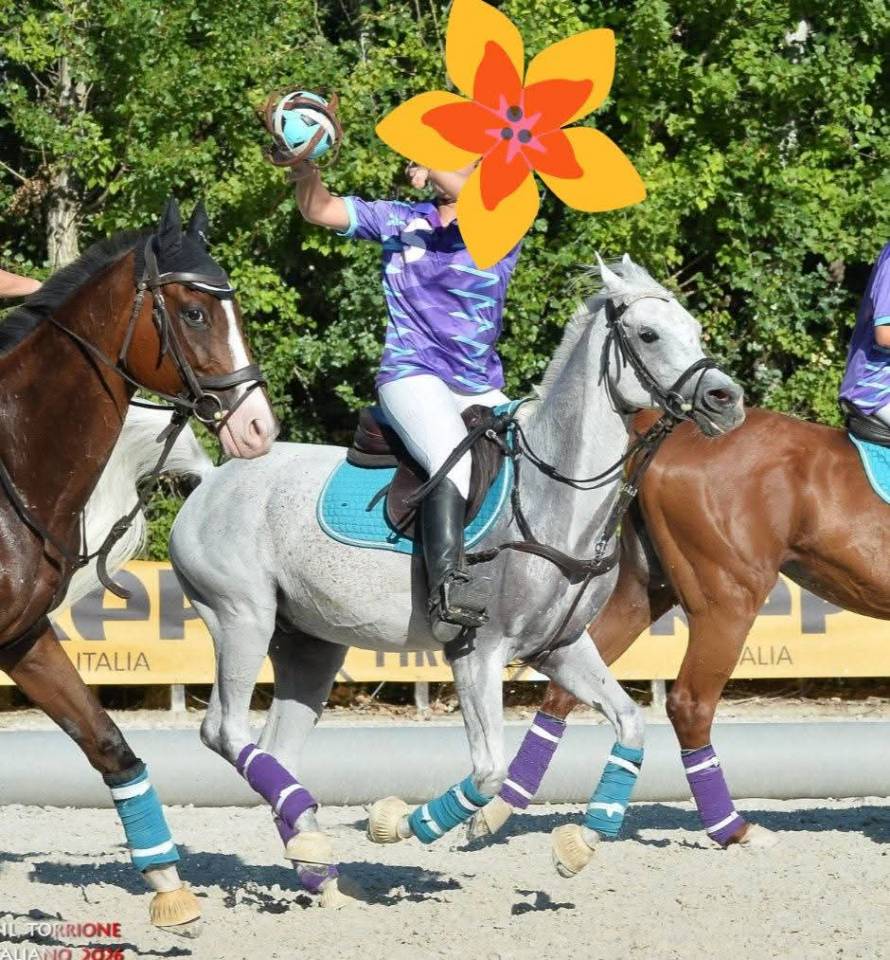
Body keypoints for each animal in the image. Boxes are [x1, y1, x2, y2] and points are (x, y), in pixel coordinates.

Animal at [168, 256, 745, 903]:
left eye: (694, 329)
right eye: (648, 335)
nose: (727, 399)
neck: (555, 496)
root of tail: (212, 478)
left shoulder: (560, 648)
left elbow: (630, 726)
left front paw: (581, 842)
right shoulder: (478, 652)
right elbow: (489, 770)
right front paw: (404, 823)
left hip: (310, 645)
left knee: (275, 749)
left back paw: (319, 869)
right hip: (242, 619)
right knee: (223, 730)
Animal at [479, 404, 890, 855]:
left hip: (643, 593)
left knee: (567, 688)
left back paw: (499, 808)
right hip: (727, 601)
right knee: (690, 705)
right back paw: (733, 828)